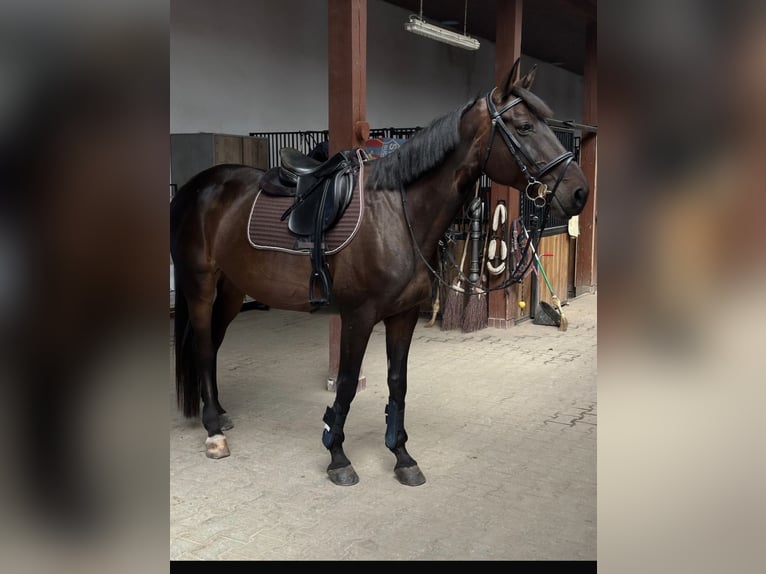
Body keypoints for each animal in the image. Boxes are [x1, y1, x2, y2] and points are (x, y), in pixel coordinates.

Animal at [170, 59, 590, 487]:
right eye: (524, 127)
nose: (579, 193)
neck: (397, 215)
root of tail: (196, 187)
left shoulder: (402, 316)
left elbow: (397, 383)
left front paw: (401, 456)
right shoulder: (358, 317)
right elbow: (347, 384)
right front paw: (337, 456)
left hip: (232, 290)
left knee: (213, 345)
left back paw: (220, 414)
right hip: (200, 287)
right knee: (202, 346)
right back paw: (213, 432)